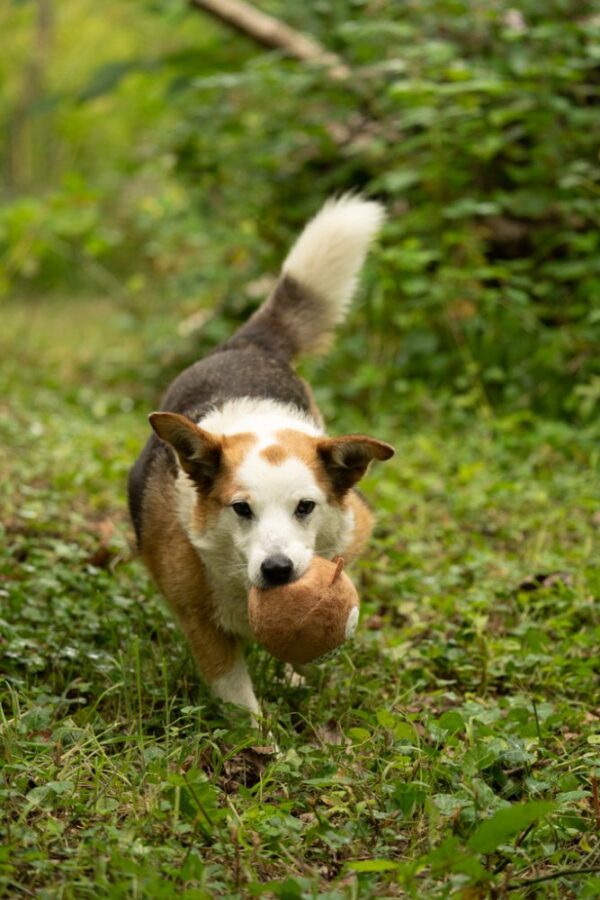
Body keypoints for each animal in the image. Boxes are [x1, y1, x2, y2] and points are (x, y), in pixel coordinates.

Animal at [127, 195, 394, 716]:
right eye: (241, 509)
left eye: (306, 507)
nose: (277, 570)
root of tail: (246, 344)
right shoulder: (201, 621)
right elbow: (235, 693)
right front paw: (255, 735)